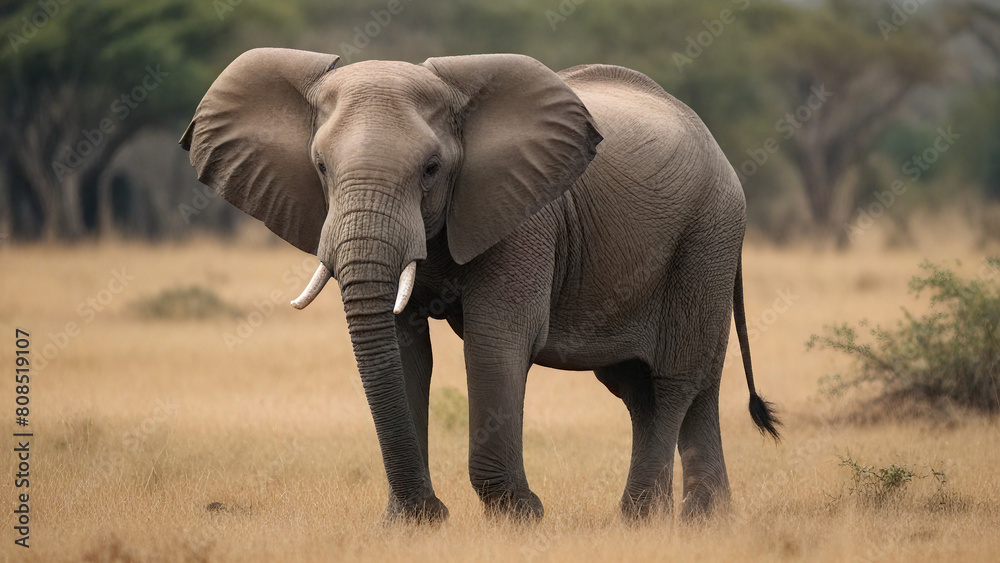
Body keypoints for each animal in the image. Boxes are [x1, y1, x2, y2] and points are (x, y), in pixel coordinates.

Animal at [180, 48, 780, 523]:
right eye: (321, 168)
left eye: (431, 168)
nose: (432, 511)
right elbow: (405, 349)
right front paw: (410, 523)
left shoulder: (525, 215)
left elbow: (498, 341)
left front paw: (519, 515)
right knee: (646, 387)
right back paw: (703, 519)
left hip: (706, 238)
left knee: (673, 379)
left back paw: (642, 520)